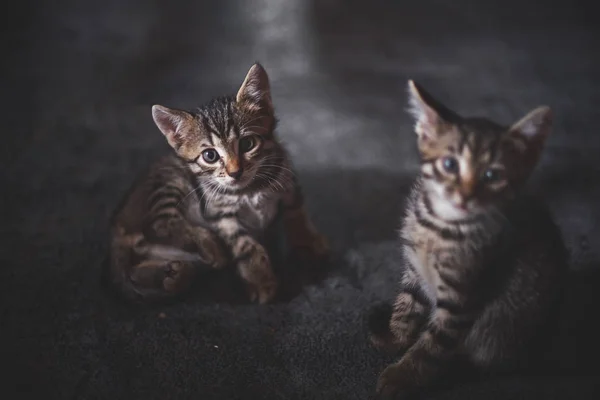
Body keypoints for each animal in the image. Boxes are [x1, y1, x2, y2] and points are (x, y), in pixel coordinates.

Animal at [110, 63, 330, 304]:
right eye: (210, 156)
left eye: (248, 144)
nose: (235, 172)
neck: (249, 189)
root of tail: (117, 223)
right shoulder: (220, 214)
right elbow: (245, 245)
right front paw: (260, 280)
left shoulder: (287, 180)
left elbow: (296, 212)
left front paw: (308, 240)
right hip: (171, 181)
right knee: (160, 223)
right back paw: (208, 246)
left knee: (140, 266)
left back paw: (173, 276)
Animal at [368, 80, 568, 396]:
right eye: (450, 164)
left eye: (492, 175)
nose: (465, 196)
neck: (440, 226)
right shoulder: (414, 270)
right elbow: (407, 305)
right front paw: (394, 338)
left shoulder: (463, 299)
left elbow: (431, 346)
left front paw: (401, 376)